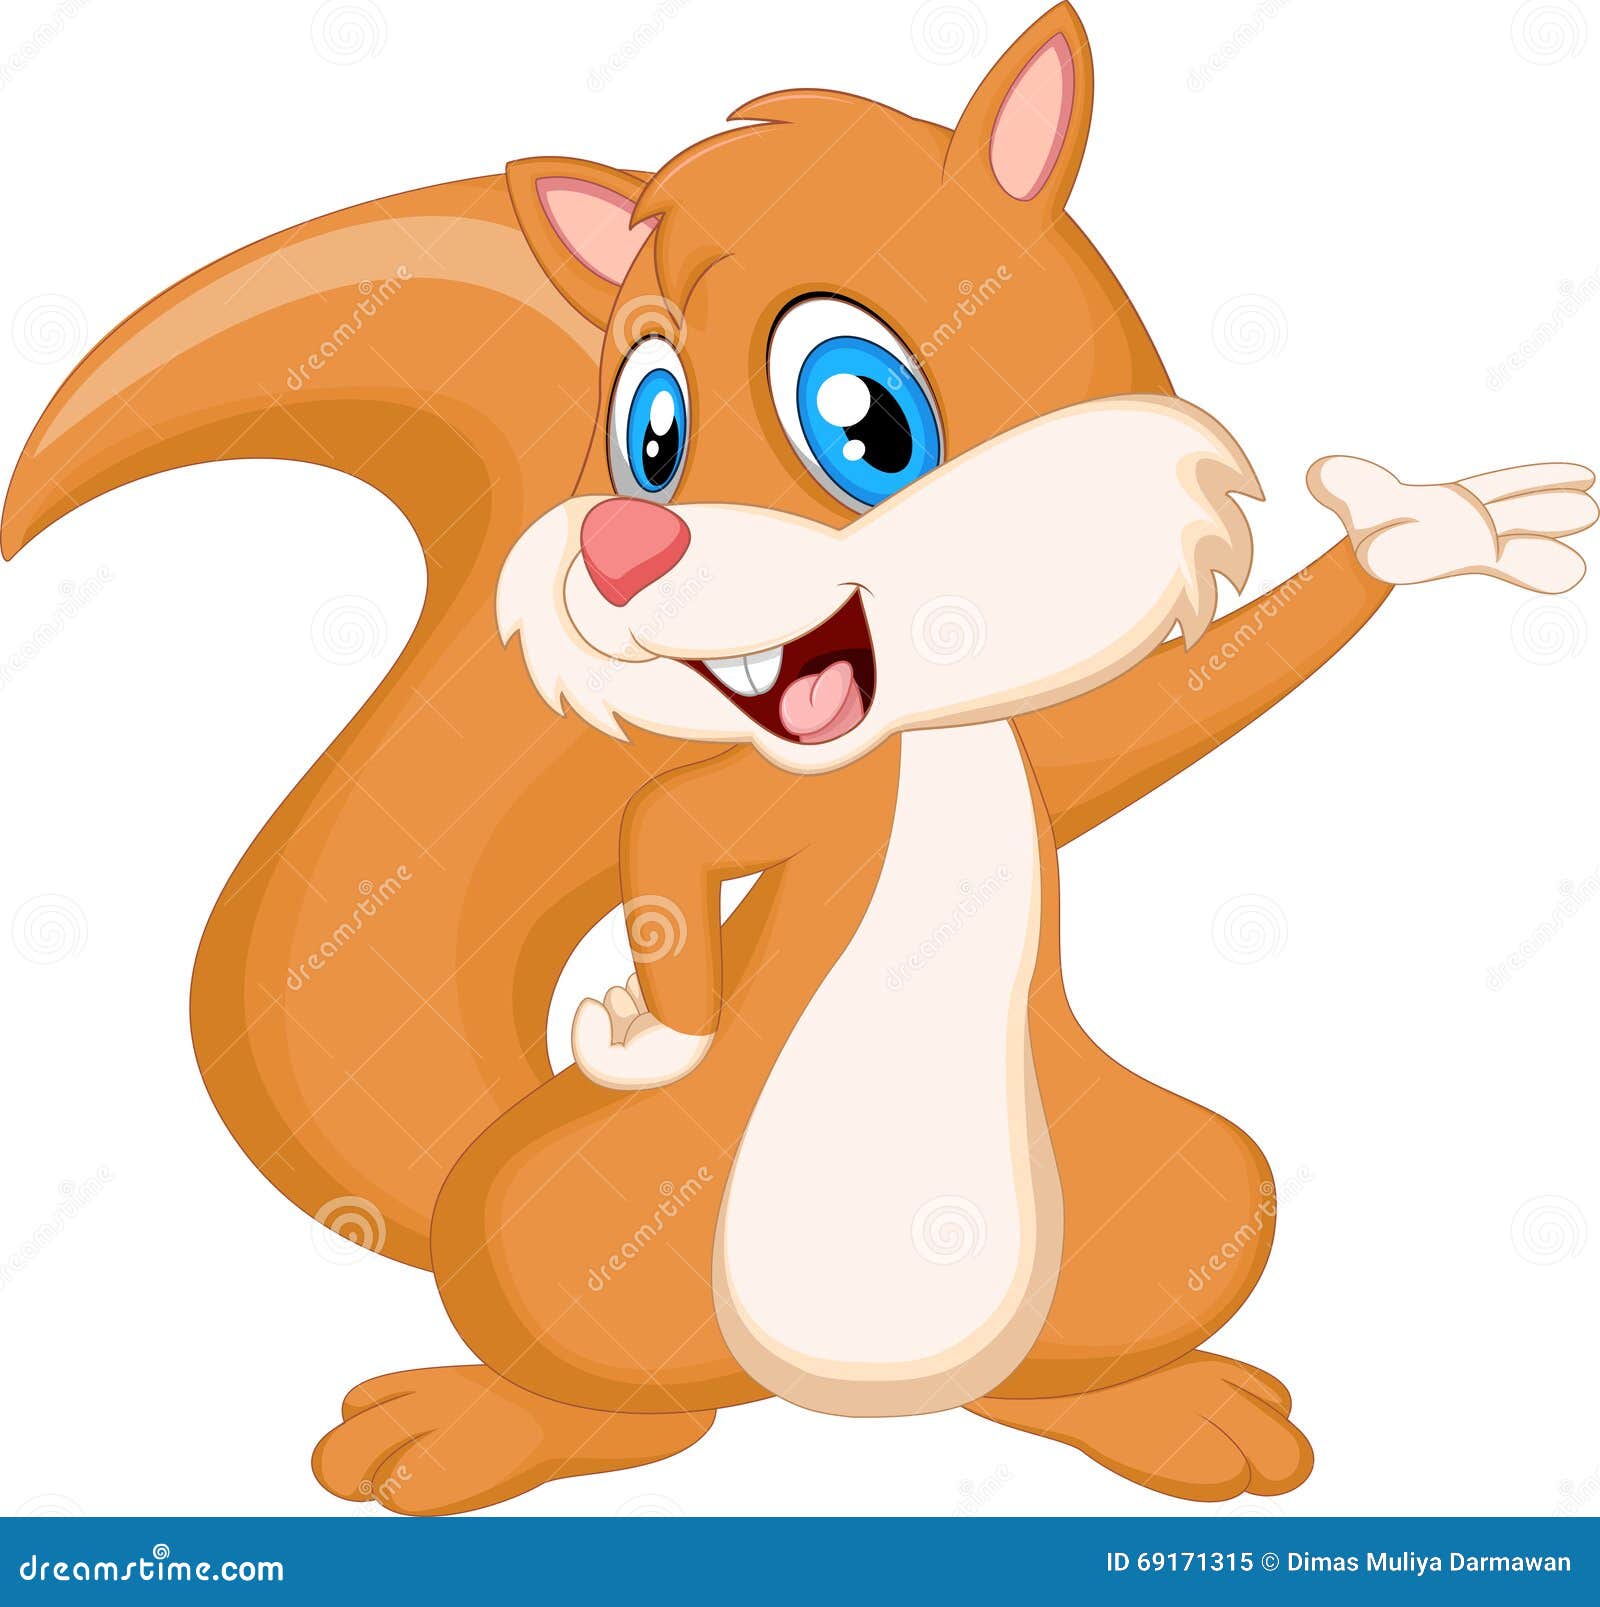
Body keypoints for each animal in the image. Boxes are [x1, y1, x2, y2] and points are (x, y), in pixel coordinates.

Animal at [4, 4, 1593, 1515]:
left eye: (863, 416)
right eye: (648, 435)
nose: (621, 546)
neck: (918, 752)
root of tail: (837, 1399)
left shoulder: (1056, 757)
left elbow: (1199, 695)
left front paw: (1429, 528)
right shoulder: (796, 802)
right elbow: (671, 833)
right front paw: (648, 1032)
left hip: (1185, 1194)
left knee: (1072, 1344)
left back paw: (1163, 1407)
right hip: (565, 1225)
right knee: (635, 1401)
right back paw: (485, 1425)